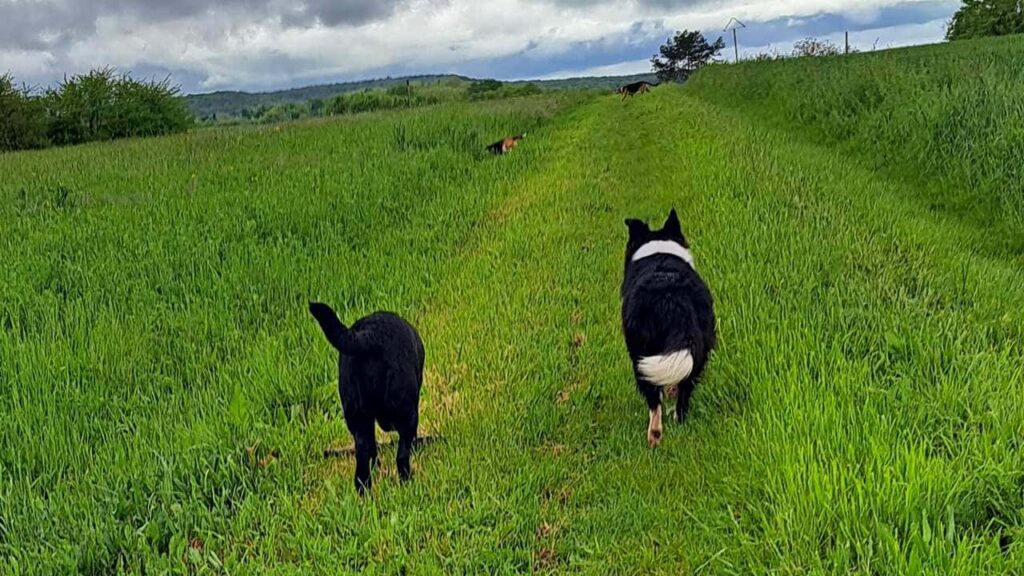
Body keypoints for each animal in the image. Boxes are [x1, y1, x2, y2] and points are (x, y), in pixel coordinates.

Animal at [309, 301, 425, 494]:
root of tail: (370, 337)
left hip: (357, 416)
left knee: (363, 453)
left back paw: (364, 490)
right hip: (406, 411)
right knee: (401, 454)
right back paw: (407, 481)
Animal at [618, 208, 716, 446]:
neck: (659, 250)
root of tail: (671, 299)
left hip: (640, 355)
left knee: (654, 401)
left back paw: (654, 435)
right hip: (701, 348)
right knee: (685, 392)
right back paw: (679, 421)